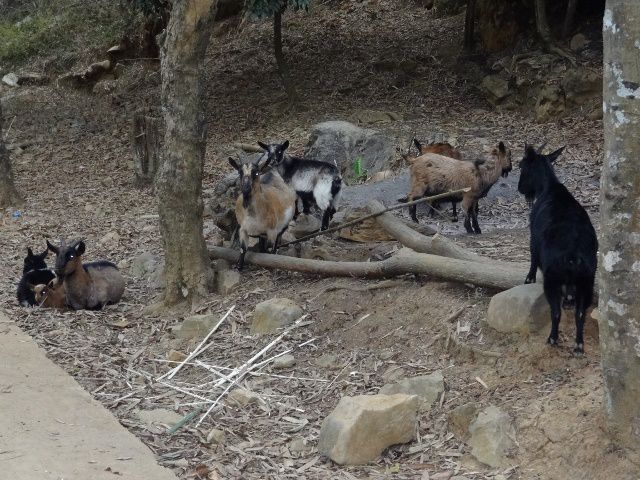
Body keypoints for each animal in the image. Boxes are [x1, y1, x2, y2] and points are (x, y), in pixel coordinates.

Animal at [516, 142, 596, 352]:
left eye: (521, 165)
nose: (520, 189)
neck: (548, 188)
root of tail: (573, 254)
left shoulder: (533, 238)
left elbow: (532, 259)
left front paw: (528, 279)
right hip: (587, 281)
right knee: (580, 314)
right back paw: (578, 345)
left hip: (552, 279)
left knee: (556, 312)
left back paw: (552, 338)